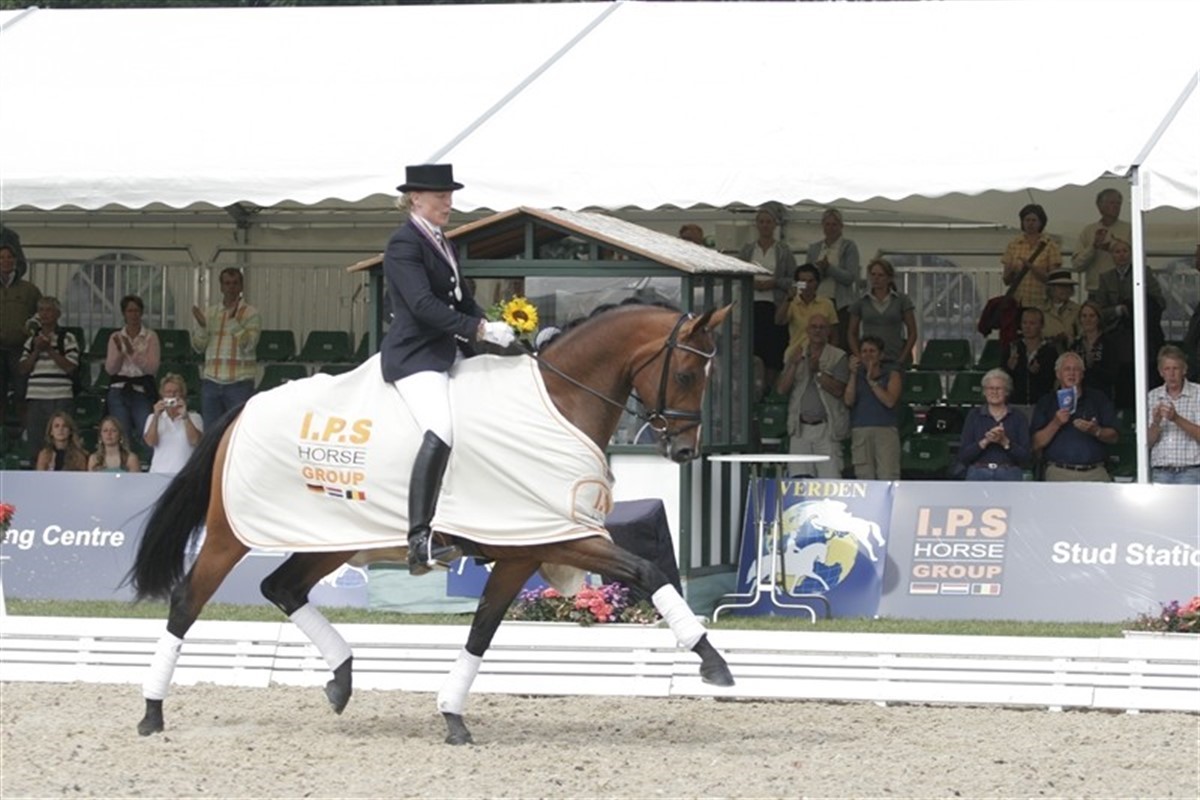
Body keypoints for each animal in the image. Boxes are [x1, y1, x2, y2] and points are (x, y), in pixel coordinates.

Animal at [128, 302, 735, 745]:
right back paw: (152, 713)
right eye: (686, 373)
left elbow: (482, 631)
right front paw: (714, 664)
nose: (684, 451)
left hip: (332, 538)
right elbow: (649, 572)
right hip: (231, 535)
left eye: (711, 375)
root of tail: (243, 410)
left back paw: (341, 679)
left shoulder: (523, 551)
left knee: (281, 587)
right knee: (187, 601)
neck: (558, 404)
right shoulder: (566, 536)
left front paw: (452, 716)